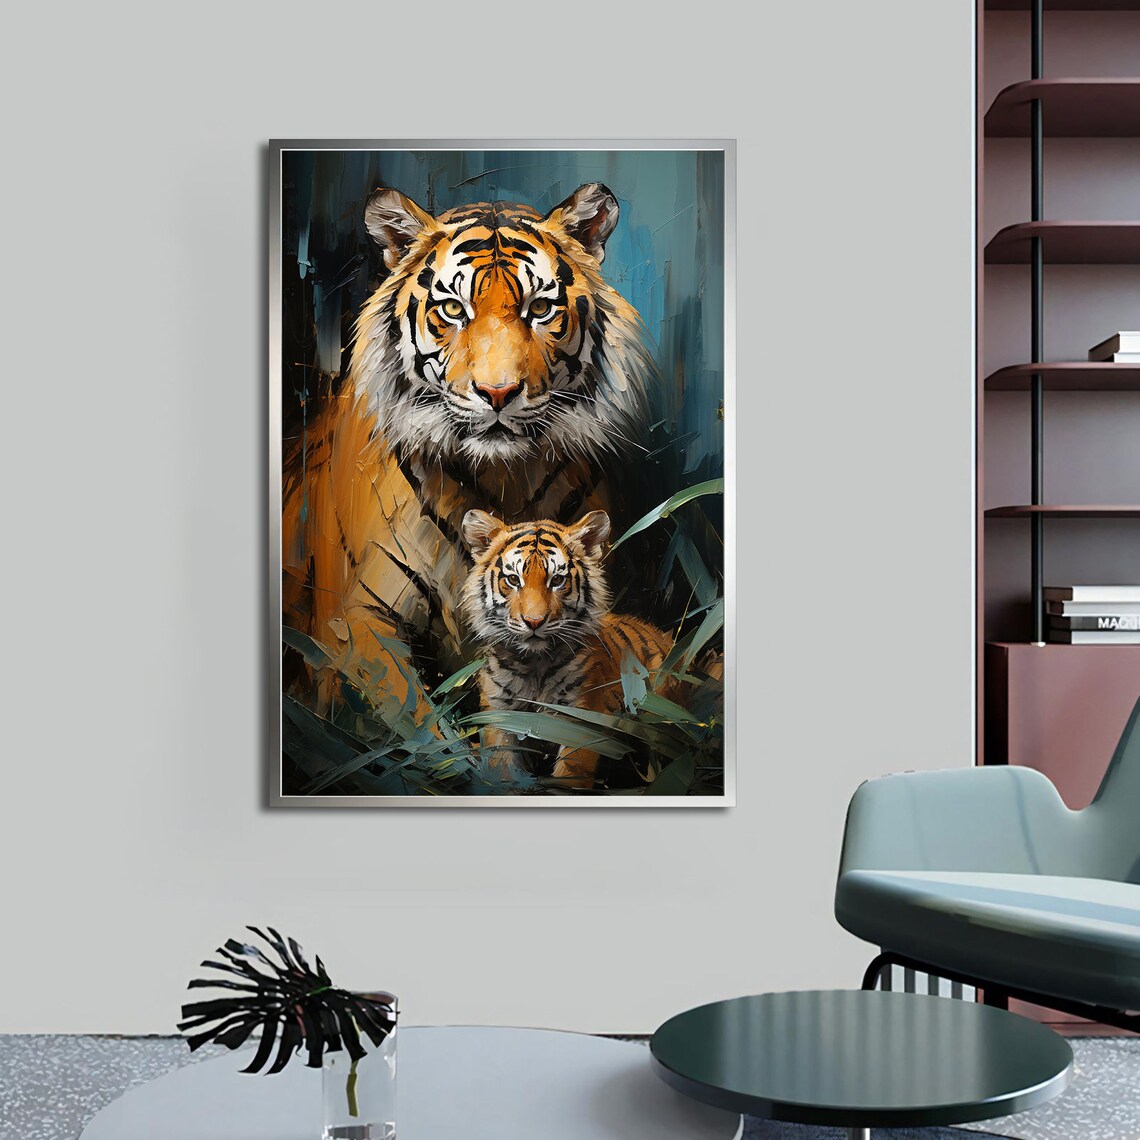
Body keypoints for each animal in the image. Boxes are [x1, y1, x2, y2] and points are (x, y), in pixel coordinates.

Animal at [282, 182, 656, 708]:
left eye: (540, 309)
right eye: (454, 309)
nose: (498, 393)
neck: (501, 478)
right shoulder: (356, 620)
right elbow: (418, 717)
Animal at [461, 508, 677, 790]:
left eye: (557, 580)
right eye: (513, 579)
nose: (534, 621)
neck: (534, 665)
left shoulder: (581, 717)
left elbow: (569, 777)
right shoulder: (499, 715)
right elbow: (502, 771)